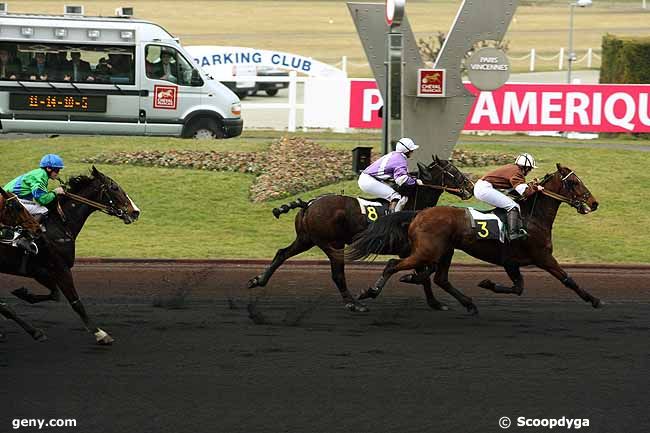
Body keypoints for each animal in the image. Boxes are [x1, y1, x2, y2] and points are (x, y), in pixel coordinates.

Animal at [0, 166, 140, 344]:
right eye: (114, 187)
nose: (135, 212)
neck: (59, 224)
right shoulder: (59, 268)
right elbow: (75, 302)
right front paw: (100, 333)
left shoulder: (40, 272)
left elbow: (54, 295)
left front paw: (24, 293)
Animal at [247, 157, 470, 312]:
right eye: (452, 171)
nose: (469, 186)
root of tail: (308, 204)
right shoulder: (408, 249)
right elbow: (426, 271)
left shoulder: (411, 250)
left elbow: (426, 274)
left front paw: (435, 303)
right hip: (332, 243)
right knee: (337, 274)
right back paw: (354, 304)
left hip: (306, 239)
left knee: (282, 253)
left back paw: (259, 280)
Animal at [346, 164, 600, 312]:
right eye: (574, 182)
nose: (594, 203)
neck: (531, 217)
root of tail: (419, 213)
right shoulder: (543, 257)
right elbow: (567, 279)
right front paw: (594, 300)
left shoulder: (511, 262)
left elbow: (518, 288)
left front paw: (487, 283)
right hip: (426, 251)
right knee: (393, 265)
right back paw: (371, 292)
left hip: (444, 251)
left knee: (440, 278)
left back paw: (467, 303)